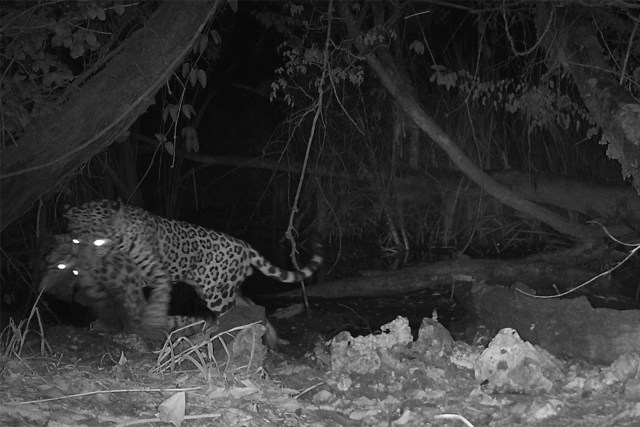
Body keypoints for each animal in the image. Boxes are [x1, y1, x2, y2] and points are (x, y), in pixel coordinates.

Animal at [63, 199, 323, 320]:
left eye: (98, 241)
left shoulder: (155, 273)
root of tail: (244, 244)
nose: (85, 263)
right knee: (249, 306)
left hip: (217, 293)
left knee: (231, 313)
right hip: (216, 287)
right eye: (75, 240)